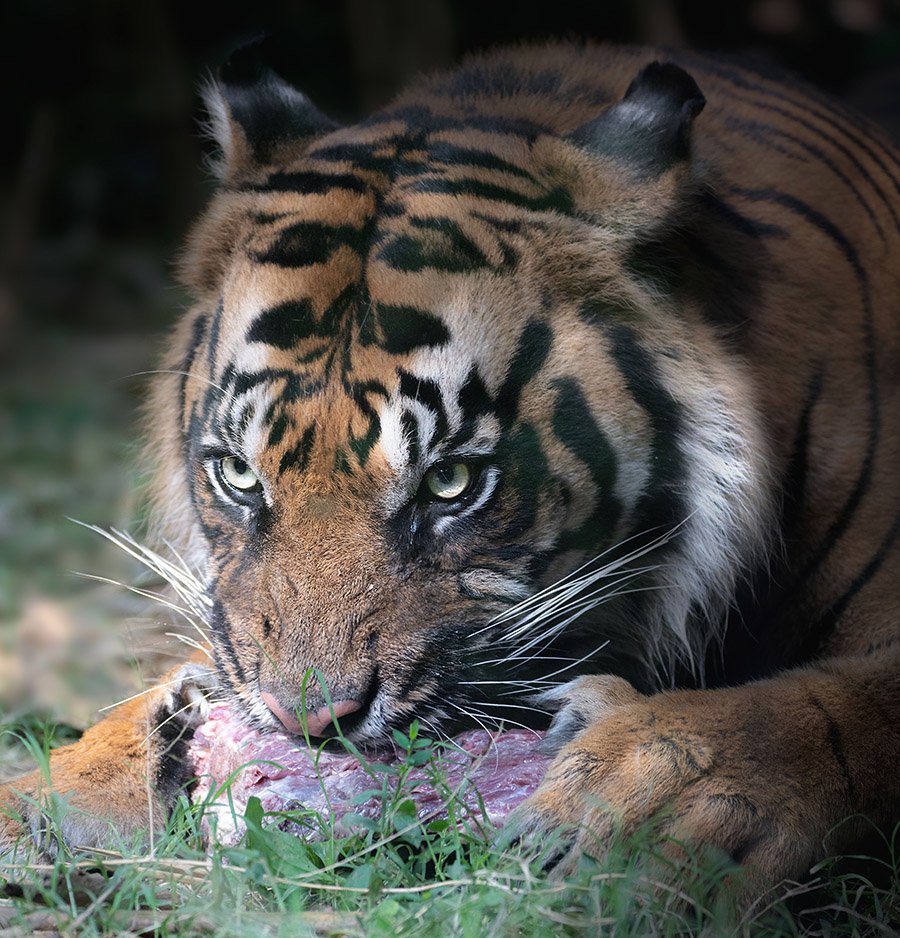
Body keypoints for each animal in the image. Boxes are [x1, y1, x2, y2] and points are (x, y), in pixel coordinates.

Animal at [2, 40, 899, 891]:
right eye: (240, 476)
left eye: (451, 483)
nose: (308, 727)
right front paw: (56, 789)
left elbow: (821, 709)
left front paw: (651, 800)